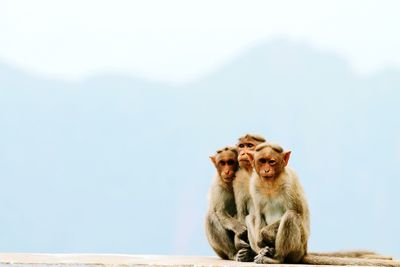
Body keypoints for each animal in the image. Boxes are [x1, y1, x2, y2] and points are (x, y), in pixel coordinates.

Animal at [245, 142, 398, 266]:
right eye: (262, 161)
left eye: (272, 162)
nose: (266, 170)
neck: (271, 184)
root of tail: (304, 252)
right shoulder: (254, 184)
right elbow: (258, 214)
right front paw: (262, 244)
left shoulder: (289, 182)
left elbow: (298, 212)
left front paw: (264, 236)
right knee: (251, 217)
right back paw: (265, 251)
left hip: (298, 248)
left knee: (291, 216)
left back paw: (277, 258)